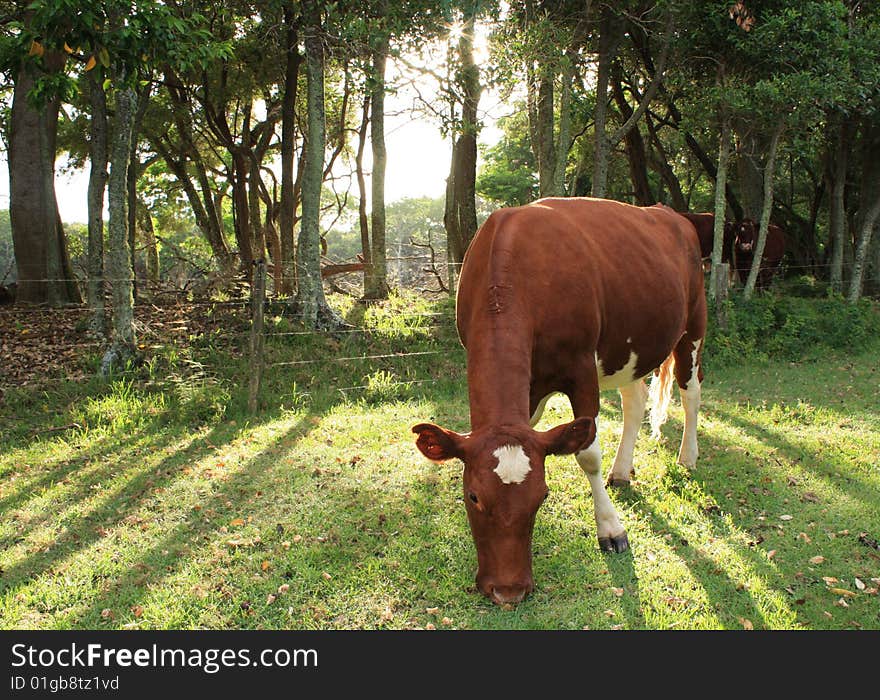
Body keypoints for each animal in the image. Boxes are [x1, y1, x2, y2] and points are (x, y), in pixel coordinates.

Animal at [412, 198, 708, 608]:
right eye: (472, 496)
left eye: (542, 495)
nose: (508, 590)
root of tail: (670, 212)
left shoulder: (581, 369)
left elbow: (588, 454)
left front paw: (610, 528)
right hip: (629, 347)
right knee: (634, 402)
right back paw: (622, 470)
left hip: (693, 322)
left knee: (690, 390)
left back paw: (687, 456)